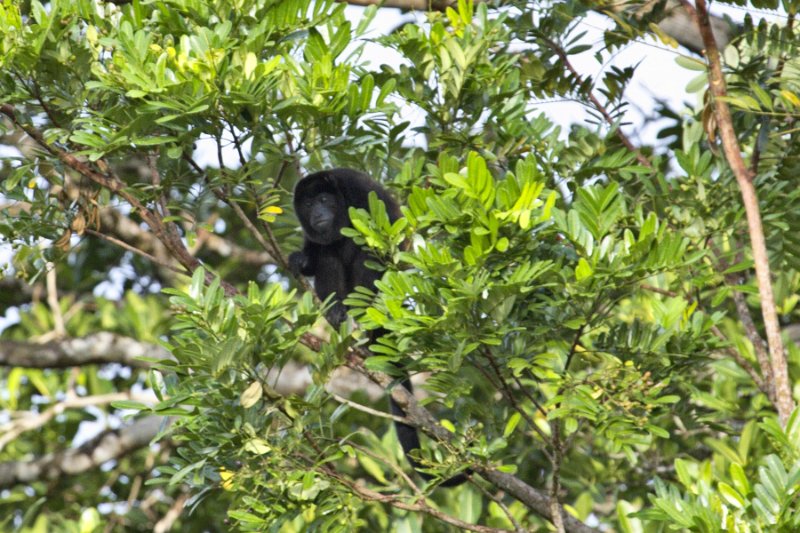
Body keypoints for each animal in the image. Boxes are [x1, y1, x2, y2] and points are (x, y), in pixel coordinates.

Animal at [290, 167, 468, 486]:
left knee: (364, 252)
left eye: (323, 199)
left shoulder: (358, 189)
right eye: (309, 205)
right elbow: (316, 251)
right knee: (329, 253)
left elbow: (385, 232)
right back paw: (336, 311)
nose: (318, 213)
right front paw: (300, 260)